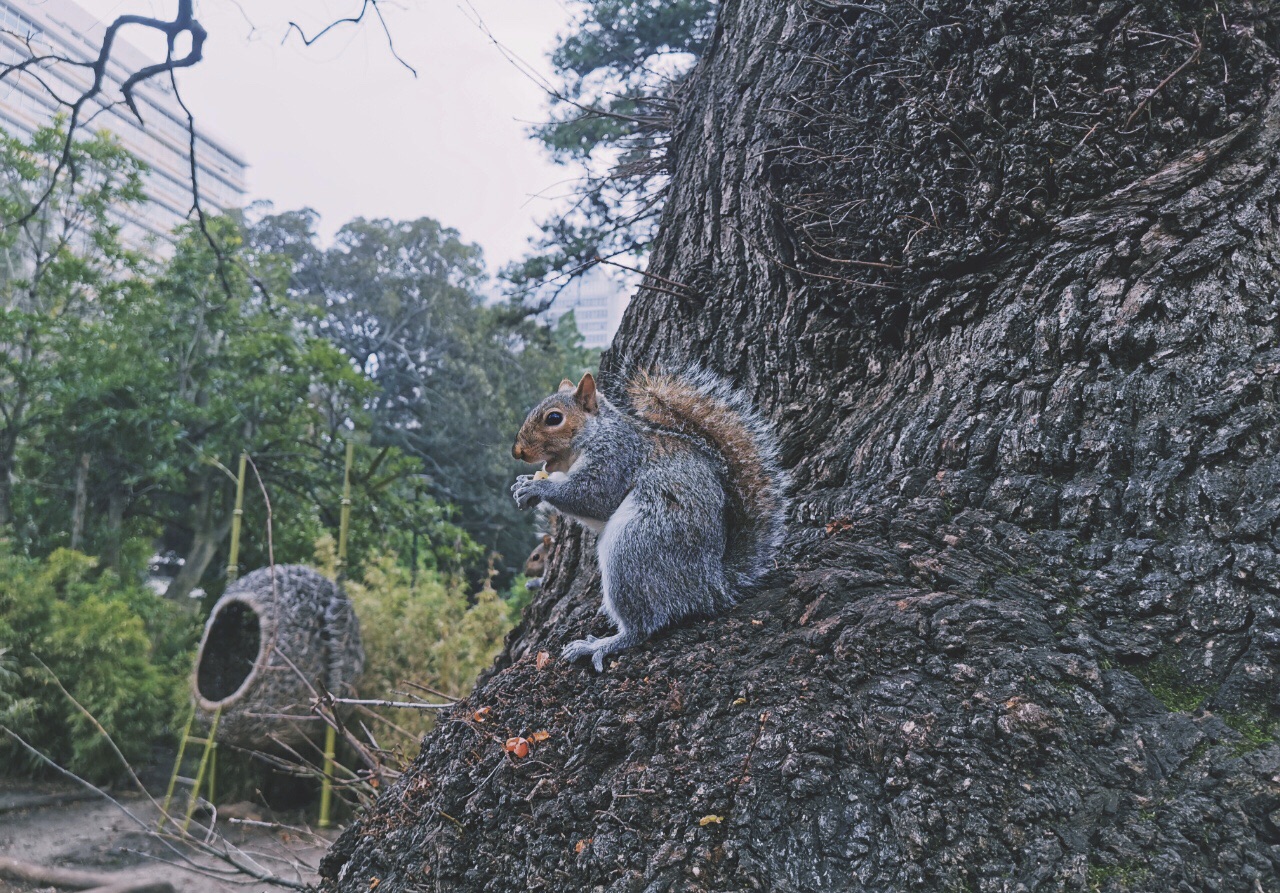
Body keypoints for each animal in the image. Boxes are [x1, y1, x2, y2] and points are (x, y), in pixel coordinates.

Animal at [512, 365, 788, 665]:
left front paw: (537, 487)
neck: (597, 433)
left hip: (633, 548)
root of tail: (710, 586)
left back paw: (600, 645)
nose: (517, 451)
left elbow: (592, 498)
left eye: (554, 418)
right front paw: (523, 484)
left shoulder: (616, 459)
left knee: (643, 625)